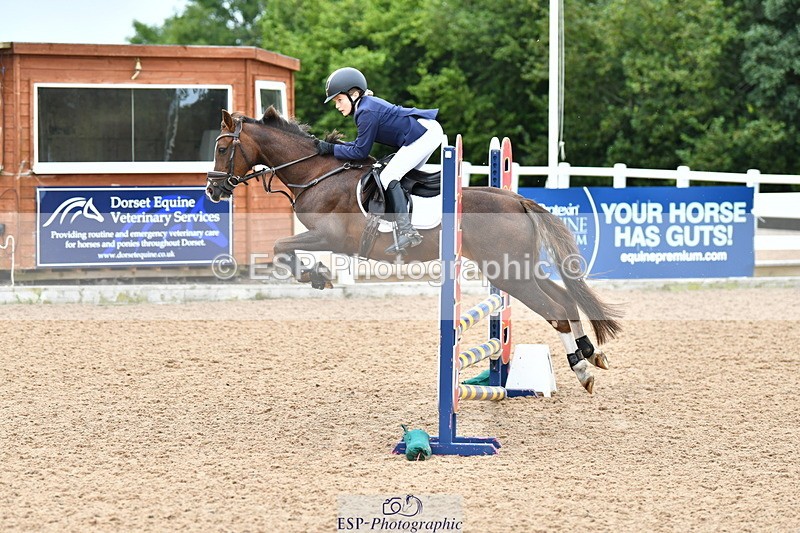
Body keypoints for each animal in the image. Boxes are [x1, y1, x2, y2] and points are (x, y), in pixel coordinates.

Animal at [205, 107, 622, 393]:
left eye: (223, 147)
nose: (212, 190)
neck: (317, 173)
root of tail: (517, 200)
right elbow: (282, 248)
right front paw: (317, 275)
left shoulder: (330, 237)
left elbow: (280, 247)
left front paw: (317, 275)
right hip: (518, 269)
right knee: (565, 298)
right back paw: (590, 354)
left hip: (508, 274)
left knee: (555, 310)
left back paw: (581, 369)